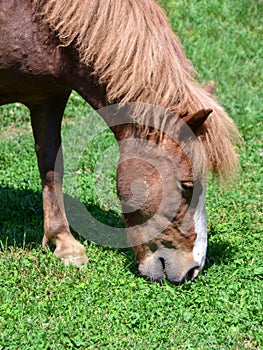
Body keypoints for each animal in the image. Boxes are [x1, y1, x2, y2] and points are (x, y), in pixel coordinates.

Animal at [0, 0, 240, 284]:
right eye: (187, 184)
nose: (192, 270)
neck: (40, 19)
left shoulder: (48, 97)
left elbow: (51, 167)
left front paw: (64, 244)